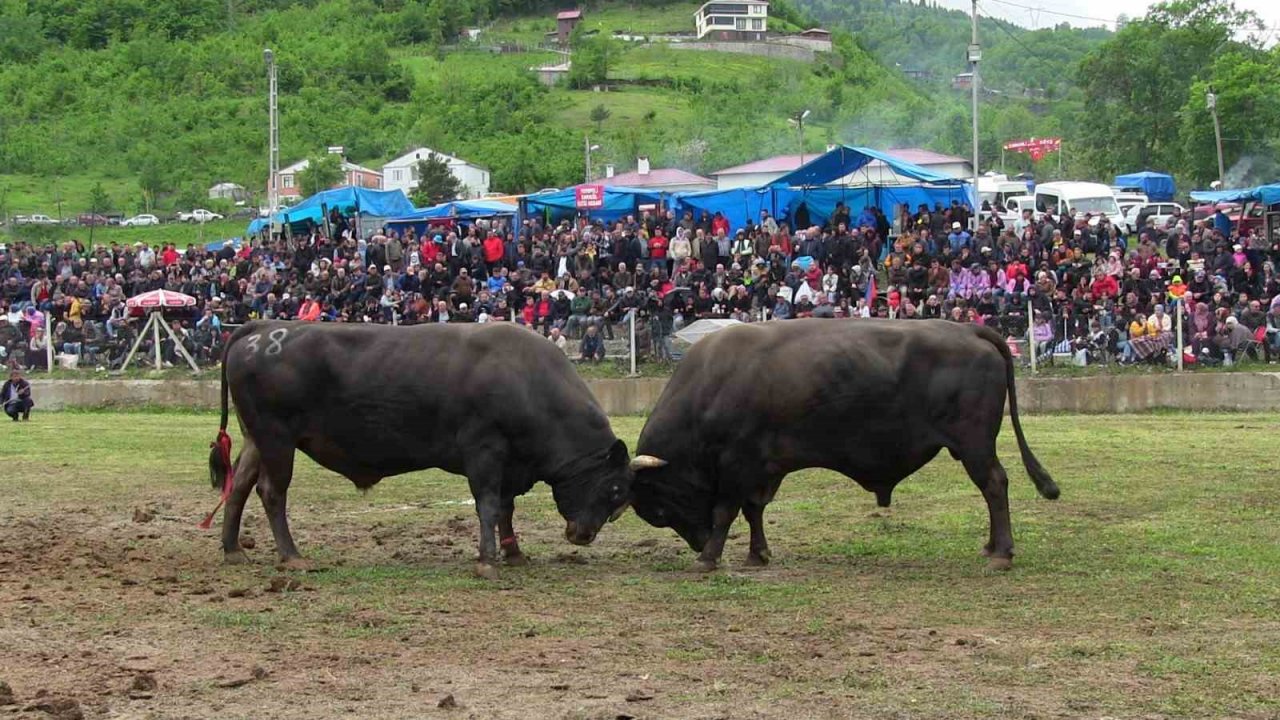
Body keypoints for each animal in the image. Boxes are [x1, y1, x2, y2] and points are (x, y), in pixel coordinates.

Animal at [629, 316, 1059, 568]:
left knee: (994, 484)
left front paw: (709, 557)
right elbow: (753, 511)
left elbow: (725, 511)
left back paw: (1000, 553)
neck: (711, 383)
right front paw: (757, 554)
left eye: (661, 508)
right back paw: (990, 546)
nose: (698, 543)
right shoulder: (761, 469)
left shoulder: (737, 464)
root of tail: (968, 330)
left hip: (974, 446)